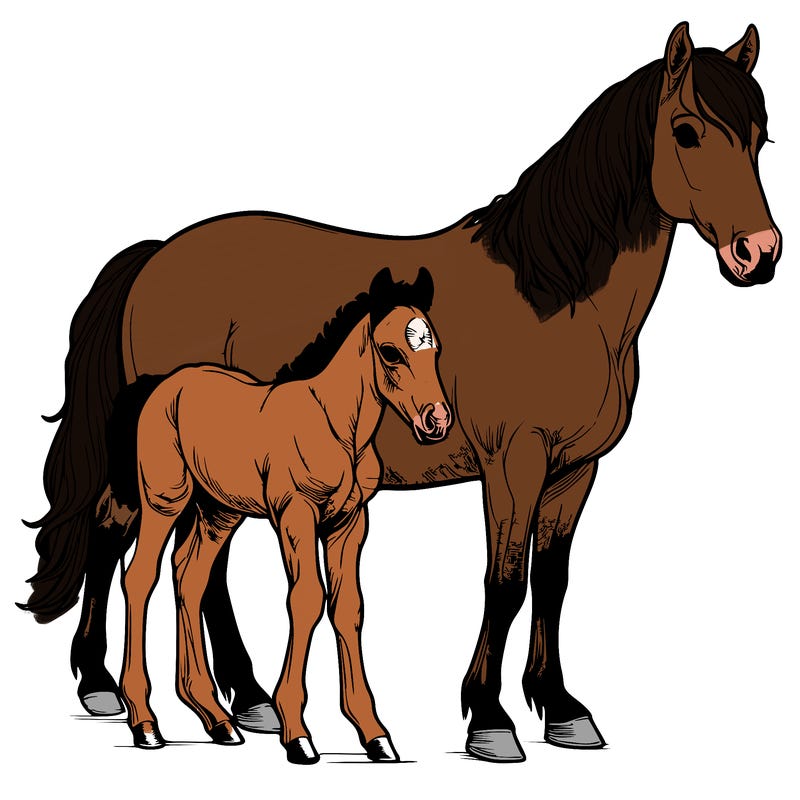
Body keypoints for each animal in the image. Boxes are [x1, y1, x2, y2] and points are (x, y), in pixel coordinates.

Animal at [112, 267, 451, 762]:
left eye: (435, 349)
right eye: (391, 352)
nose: (436, 421)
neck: (339, 428)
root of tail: (169, 383)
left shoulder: (350, 522)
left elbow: (348, 606)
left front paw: (374, 734)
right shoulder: (296, 513)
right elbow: (306, 599)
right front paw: (298, 734)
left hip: (218, 511)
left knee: (189, 576)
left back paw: (217, 719)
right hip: (165, 498)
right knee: (140, 576)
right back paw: (145, 722)